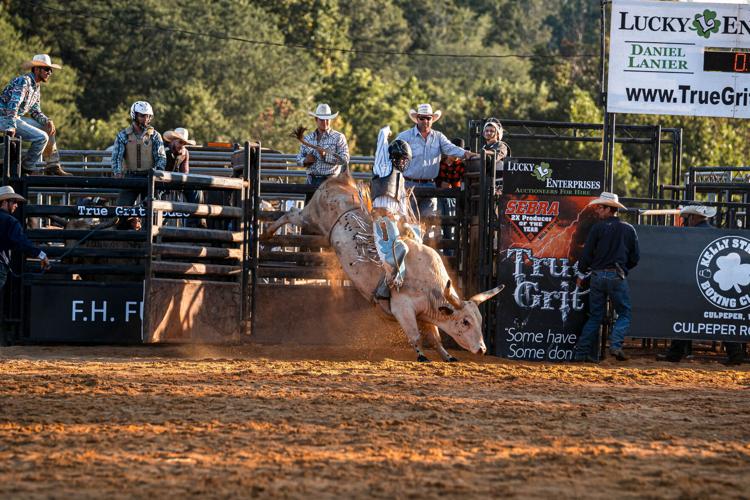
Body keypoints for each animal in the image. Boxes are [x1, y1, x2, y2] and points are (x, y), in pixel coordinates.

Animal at [262, 174, 502, 362]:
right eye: (465, 322)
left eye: (479, 320)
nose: (482, 349)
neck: (429, 284)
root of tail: (341, 179)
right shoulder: (403, 308)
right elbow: (415, 335)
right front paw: (421, 356)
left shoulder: (427, 314)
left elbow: (434, 337)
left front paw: (447, 356)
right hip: (310, 217)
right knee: (290, 214)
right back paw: (267, 234)